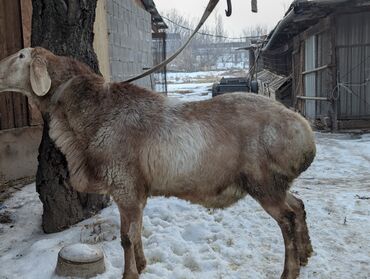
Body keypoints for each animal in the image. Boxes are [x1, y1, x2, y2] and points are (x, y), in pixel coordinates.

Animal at [0, 47, 318, 278]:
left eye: (21, 55)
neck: (88, 119)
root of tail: (305, 135)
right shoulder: (134, 189)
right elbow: (135, 231)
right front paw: (141, 265)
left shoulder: (125, 184)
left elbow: (127, 237)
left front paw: (130, 274)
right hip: (275, 182)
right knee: (299, 205)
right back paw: (306, 254)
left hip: (264, 181)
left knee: (288, 219)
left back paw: (289, 271)